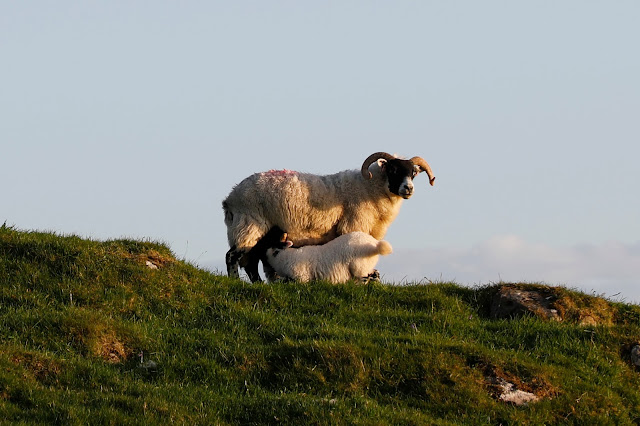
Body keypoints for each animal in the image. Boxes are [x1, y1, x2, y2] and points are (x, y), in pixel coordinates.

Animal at [259, 227, 393, 283]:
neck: (284, 258)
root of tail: (375, 244)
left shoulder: (301, 277)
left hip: (359, 266)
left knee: (365, 277)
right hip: (366, 266)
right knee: (374, 274)